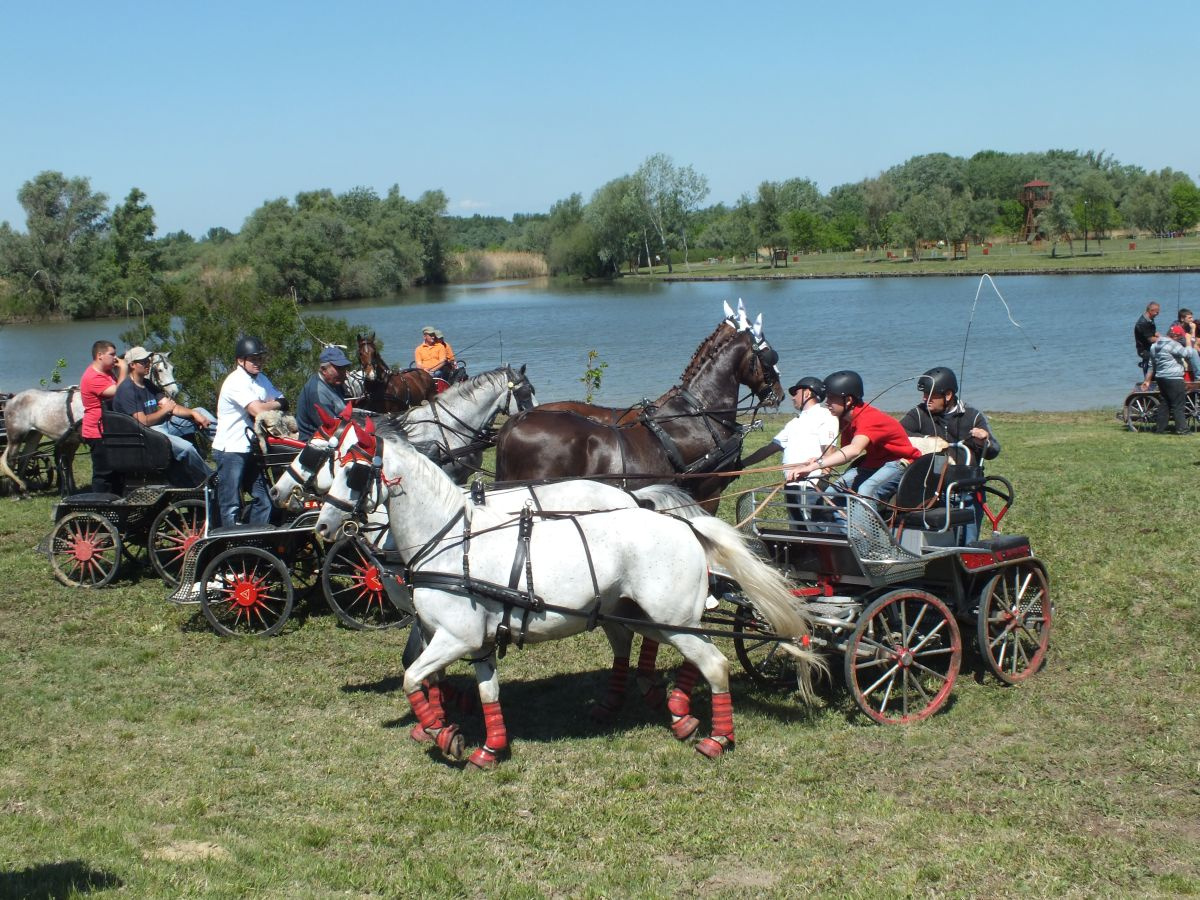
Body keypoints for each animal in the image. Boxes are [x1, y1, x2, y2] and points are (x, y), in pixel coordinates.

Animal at [0, 350, 178, 494]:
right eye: (160, 370)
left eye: (172, 368)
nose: (175, 392)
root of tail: (11, 400)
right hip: (16, 437)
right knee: (11, 460)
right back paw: (15, 493)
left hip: (35, 435)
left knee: (26, 459)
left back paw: (26, 489)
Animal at [312, 420, 825, 772]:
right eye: (330, 467)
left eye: (355, 472)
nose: (321, 526)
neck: (451, 541)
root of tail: (684, 525)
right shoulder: (475, 642)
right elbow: (484, 690)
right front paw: (487, 747)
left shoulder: (454, 638)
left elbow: (412, 677)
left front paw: (441, 731)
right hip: (635, 612)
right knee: (657, 649)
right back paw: (658, 710)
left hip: (670, 615)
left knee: (712, 663)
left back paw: (713, 736)